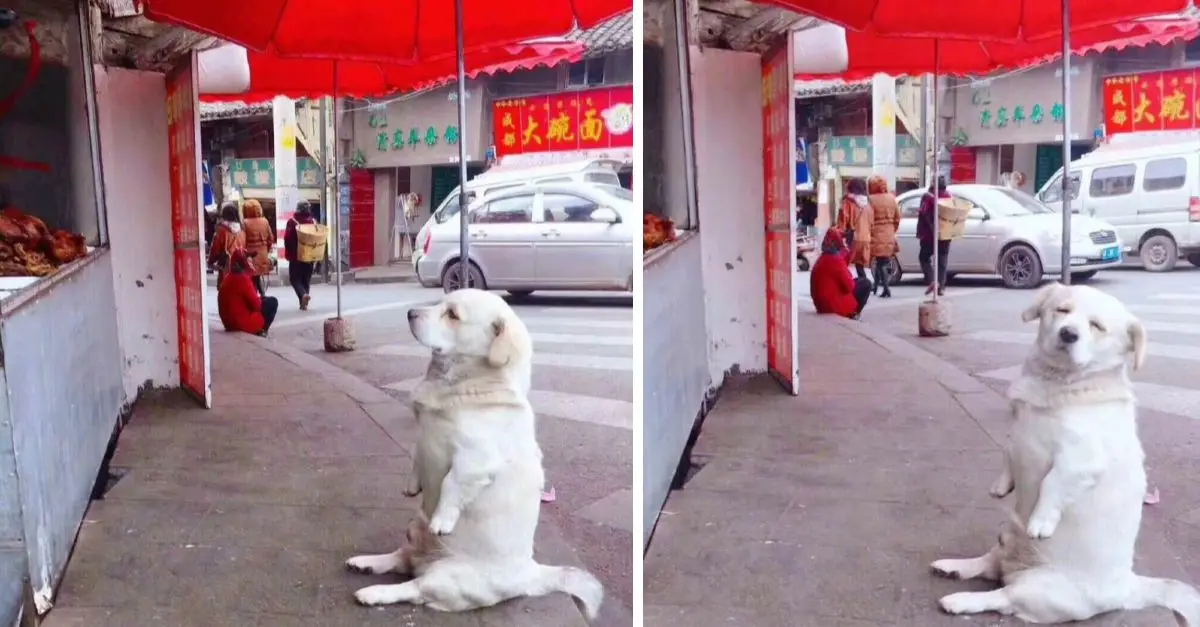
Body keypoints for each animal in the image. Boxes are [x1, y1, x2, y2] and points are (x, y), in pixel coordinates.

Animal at [350, 288, 609, 619]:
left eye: (452, 314)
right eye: (440, 302)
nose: (410, 313)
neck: (460, 386)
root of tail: (531, 574)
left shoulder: (475, 459)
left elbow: (452, 484)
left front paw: (443, 520)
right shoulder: (422, 438)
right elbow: (415, 454)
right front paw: (412, 485)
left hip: (445, 576)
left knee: (413, 587)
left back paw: (373, 592)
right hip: (413, 530)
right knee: (401, 558)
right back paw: (366, 563)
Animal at [931, 284, 1200, 624]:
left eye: (1096, 326)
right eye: (1062, 310)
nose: (1069, 333)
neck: (1057, 385)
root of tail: (1127, 588)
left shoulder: (1081, 460)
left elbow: (1053, 484)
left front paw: (1041, 521)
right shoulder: (1017, 430)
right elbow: (1008, 451)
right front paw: (1002, 485)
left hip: (1037, 588)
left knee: (1001, 596)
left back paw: (959, 600)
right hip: (1005, 537)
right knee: (989, 563)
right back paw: (953, 567)